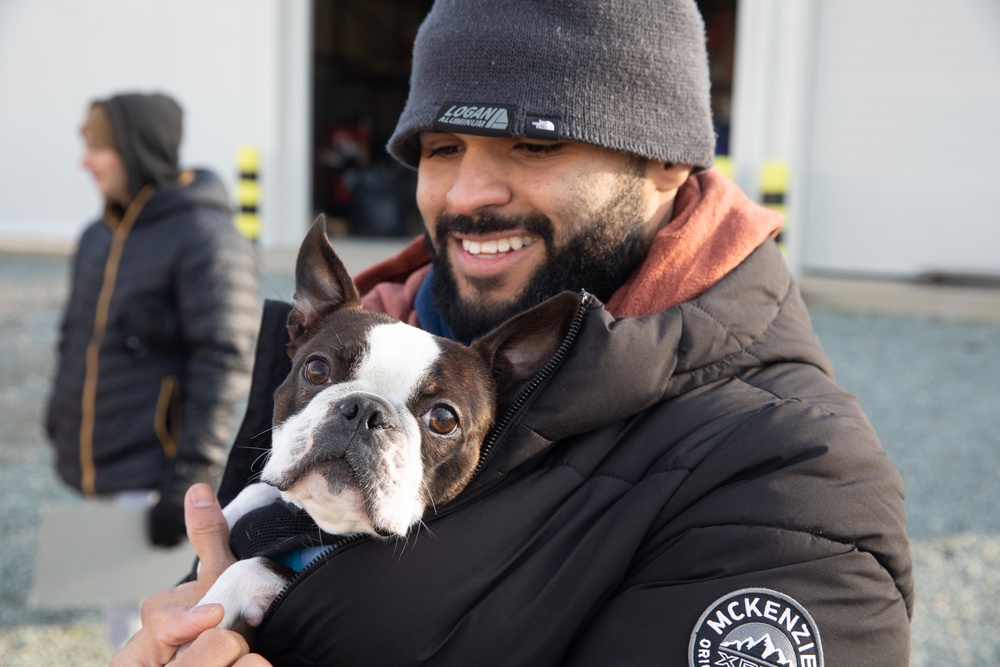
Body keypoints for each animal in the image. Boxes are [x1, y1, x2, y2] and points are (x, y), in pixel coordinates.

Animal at [193, 220, 580, 636]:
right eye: (317, 369)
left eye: (443, 419)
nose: (365, 409)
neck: (326, 524)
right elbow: (255, 493)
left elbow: (251, 568)